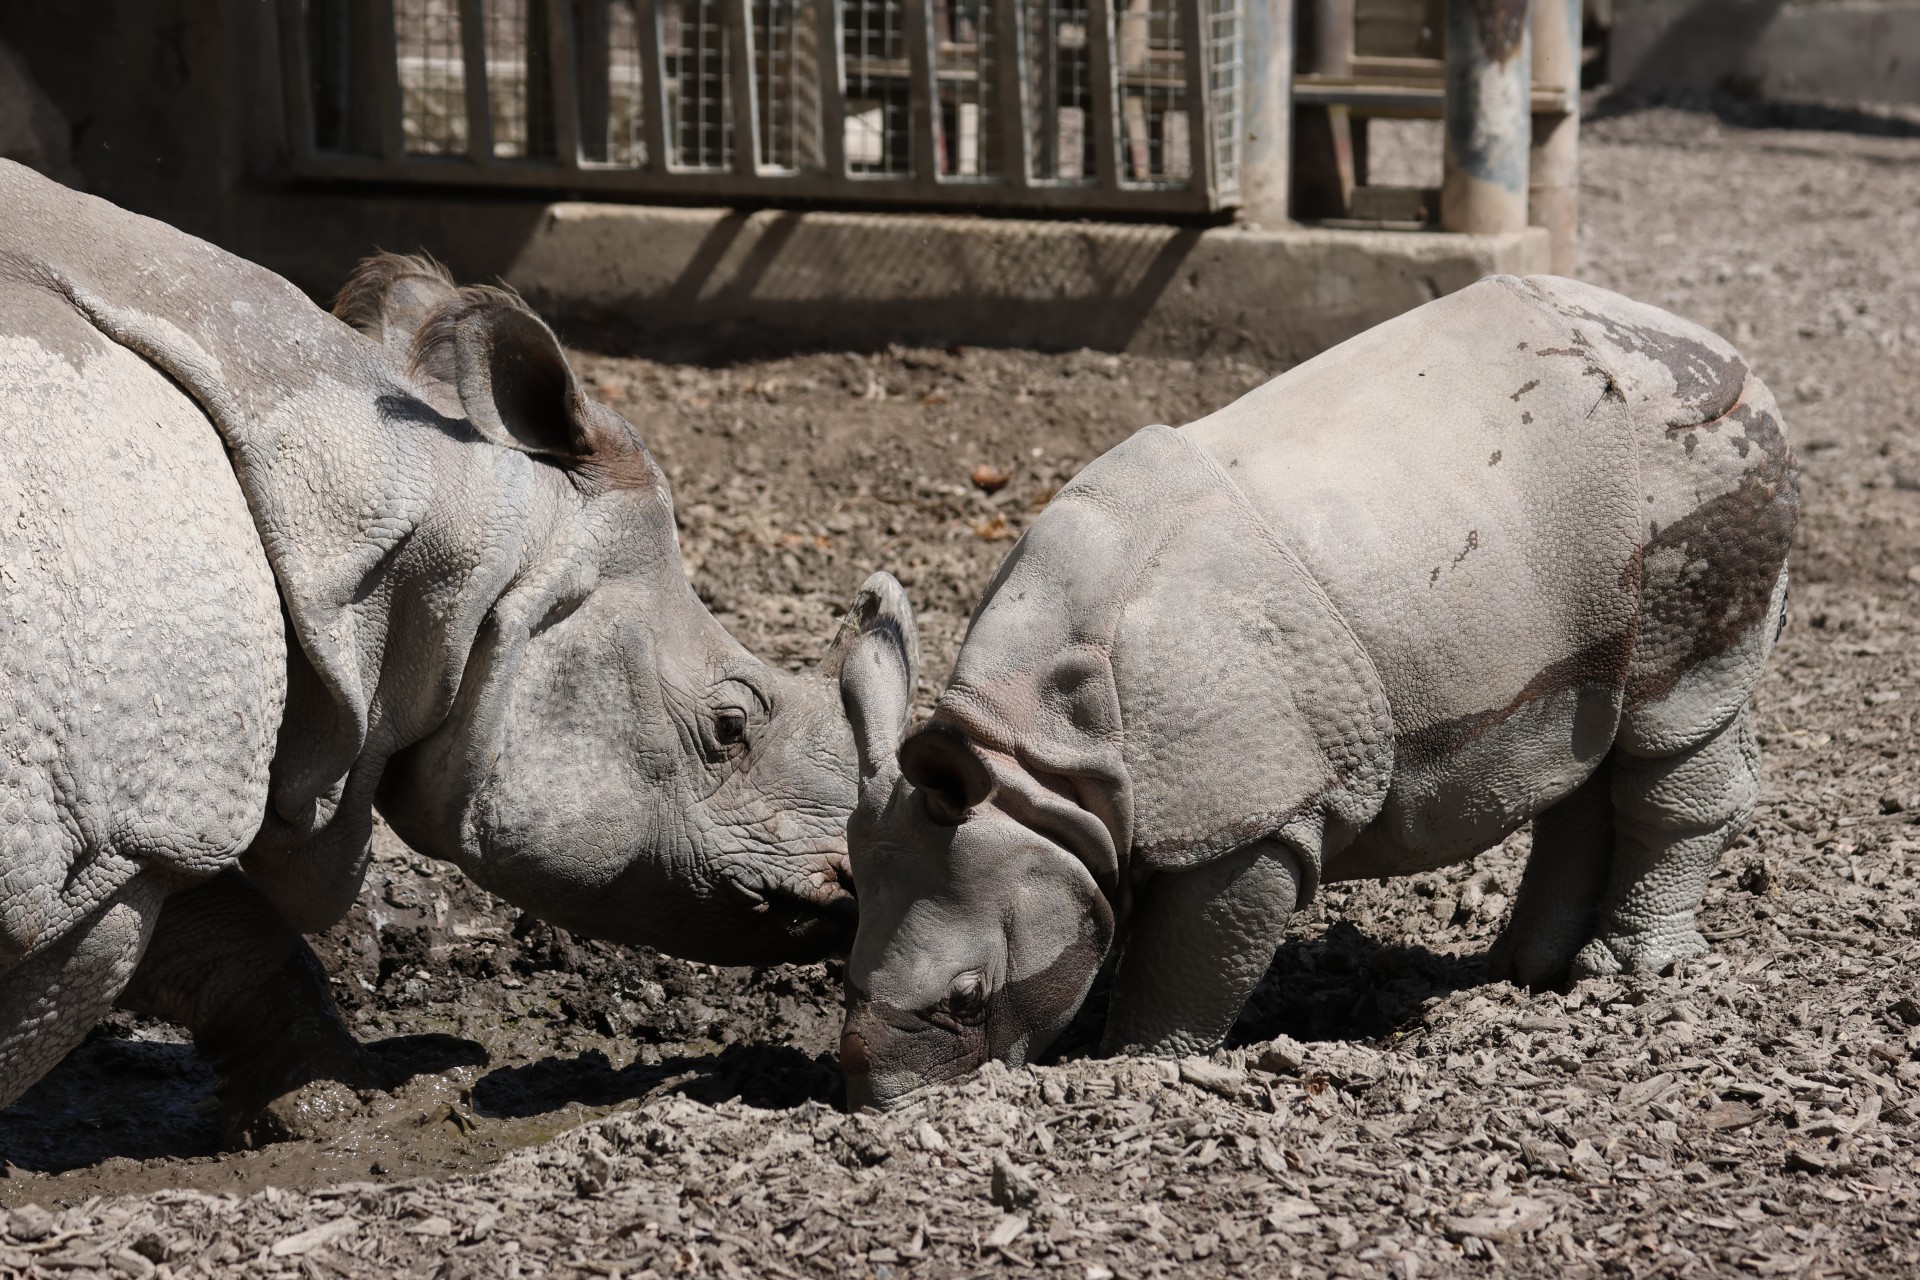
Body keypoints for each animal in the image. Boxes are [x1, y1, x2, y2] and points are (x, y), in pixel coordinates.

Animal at [0, 160, 906, 1127]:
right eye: (730, 727)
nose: (852, 889)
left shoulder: (145, 817)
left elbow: (224, 931)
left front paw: (336, 1106)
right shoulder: (113, 832)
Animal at [837, 274, 1799, 1110]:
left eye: (967, 997)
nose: (881, 1101)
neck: (1037, 765)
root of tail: (1726, 354)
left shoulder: (1252, 812)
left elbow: (1189, 965)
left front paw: (1136, 1068)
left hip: (1696, 469)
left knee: (1669, 713)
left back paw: (1627, 972)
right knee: (1592, 733)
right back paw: (1522, 972)